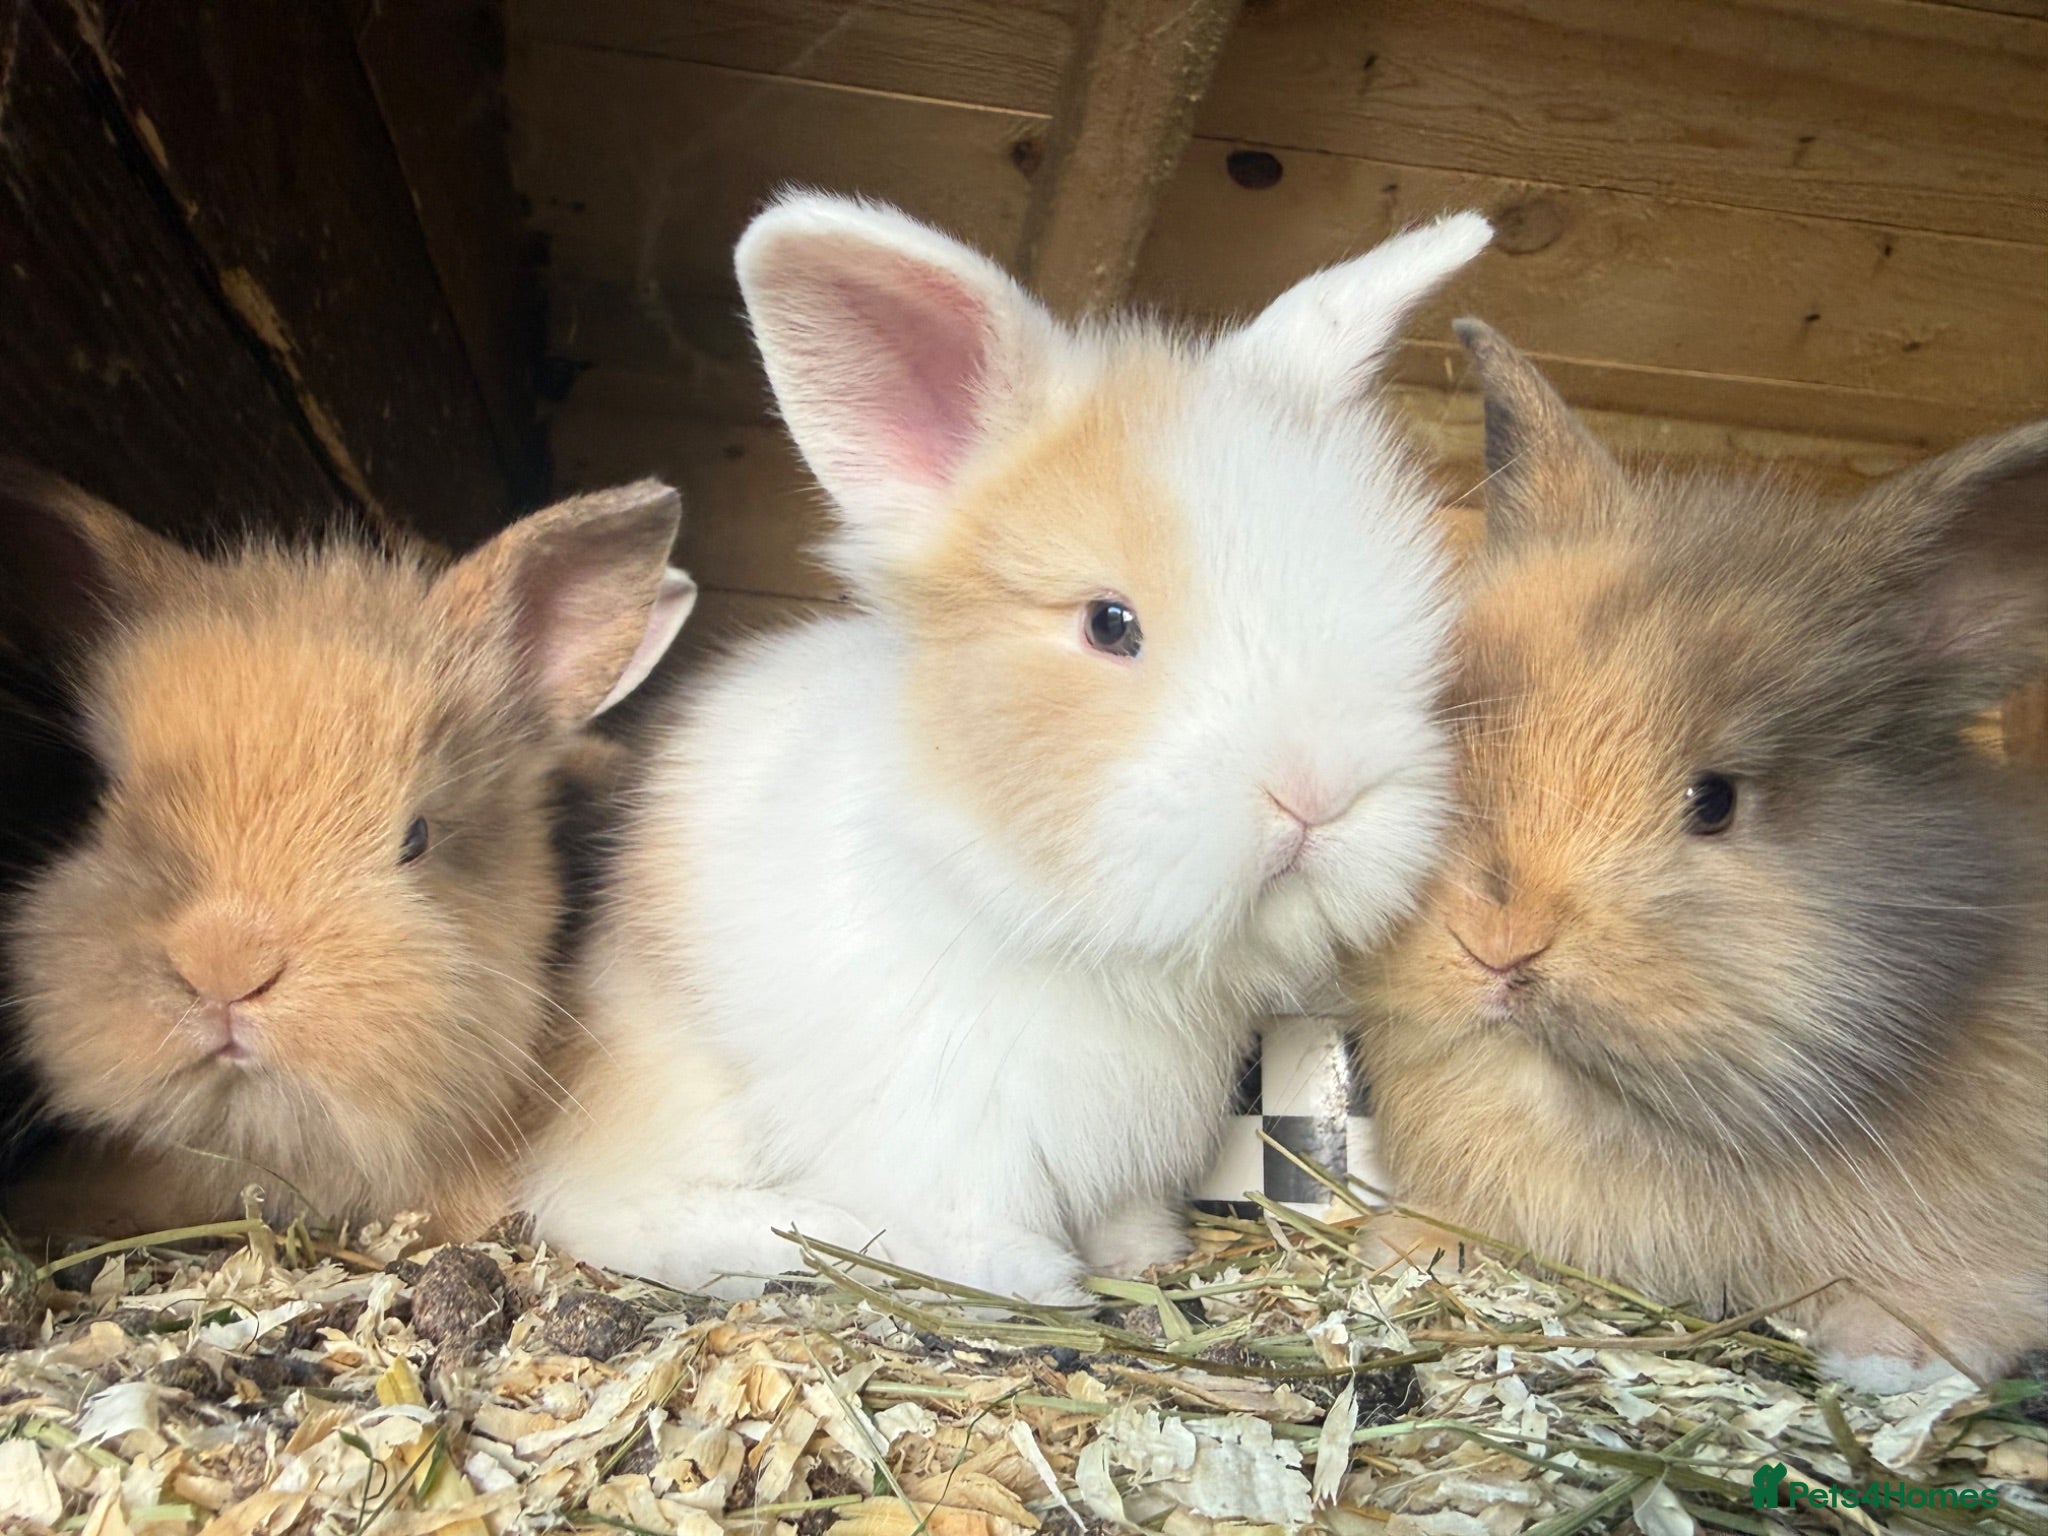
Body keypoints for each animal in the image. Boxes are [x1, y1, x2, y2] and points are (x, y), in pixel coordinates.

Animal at [521, 193, 1493, 1302]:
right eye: (1110, 625)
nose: (1320, 796)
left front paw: (1138, 1255)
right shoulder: (947, 1134)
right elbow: (976, 1234)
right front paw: (1038, 1290)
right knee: (602, 1206)